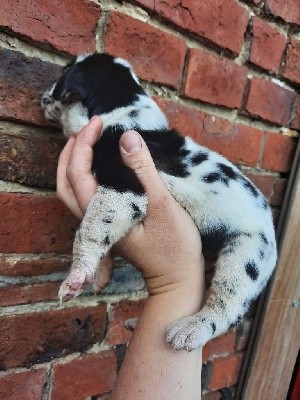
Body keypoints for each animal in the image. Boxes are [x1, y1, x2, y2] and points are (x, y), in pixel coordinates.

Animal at [41, 53, 278, 350]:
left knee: (227, 309)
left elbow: (91, 228)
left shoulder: (124, 188)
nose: (42, 97)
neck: (122, 112)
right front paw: (100, 274)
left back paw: (191, 330)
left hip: (246, 259)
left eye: (65, 71)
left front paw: (76, 276)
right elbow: (103, 234)